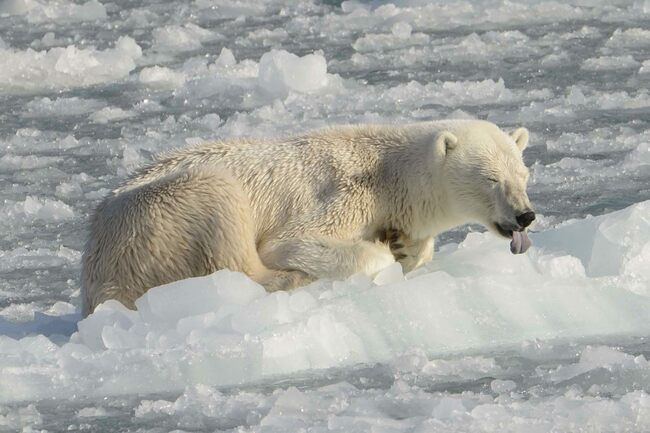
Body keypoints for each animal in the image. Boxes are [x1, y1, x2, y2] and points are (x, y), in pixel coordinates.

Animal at [81, 120, 536, 316]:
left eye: (523, 174)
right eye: (490, 178)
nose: (525, 215)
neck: (388, 173)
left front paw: (405, 244)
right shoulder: (343, 195)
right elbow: (292, 242)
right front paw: (383, 250)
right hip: (162, 212)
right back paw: (292, 280)